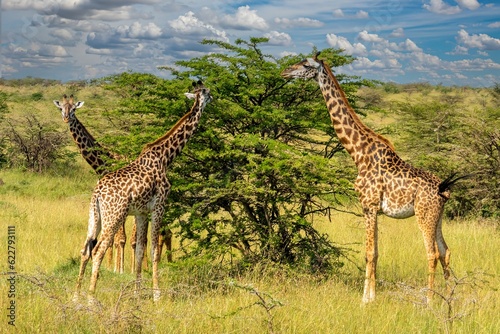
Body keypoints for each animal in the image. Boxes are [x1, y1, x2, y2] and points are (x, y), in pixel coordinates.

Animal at [53, 94, 129, 274]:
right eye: (61, 108)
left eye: (74, 109)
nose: (66, 118)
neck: (103, 165)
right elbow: (113, 238)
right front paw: (112, 268)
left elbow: (120, 238)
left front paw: (120, 270)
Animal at [75, 81, 212, 302]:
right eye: (206, 92)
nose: (213, 98)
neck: (165, 158)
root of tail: (97, 193)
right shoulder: (159, 206)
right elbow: (154, 249)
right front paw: (157, 295)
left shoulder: (141, 213)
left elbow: (140, 249)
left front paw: (137, 293)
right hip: (114, 216)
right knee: (98, 251)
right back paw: (91, 299)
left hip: (95, 216)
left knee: (85, 249)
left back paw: (76, 297)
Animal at [284, 53, 462, 304]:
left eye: (305, 64)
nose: (285, 72)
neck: (358, 153)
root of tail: (444, 190)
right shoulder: (374, 209)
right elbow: (375, 253)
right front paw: (371, 297)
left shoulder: (367, 205)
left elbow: (369, 253)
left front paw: (365, 300)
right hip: (437, 216)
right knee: (445, 251)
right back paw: (449, 297)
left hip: (424, 214)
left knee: (432, 253)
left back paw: (429, 301)